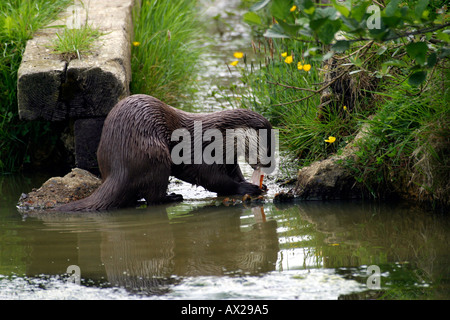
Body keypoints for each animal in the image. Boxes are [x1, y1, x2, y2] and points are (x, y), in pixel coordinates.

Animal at [56, 94, 274, 211]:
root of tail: (118, 169)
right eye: (268, 149)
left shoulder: (227, 158)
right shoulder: (203, 151)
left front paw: (256, 184)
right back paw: (173, 197)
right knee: (153, 197)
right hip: (155, 155)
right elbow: (212, 179)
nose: (269, 166)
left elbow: (233, 172)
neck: (219, 137)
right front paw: (247, 188)